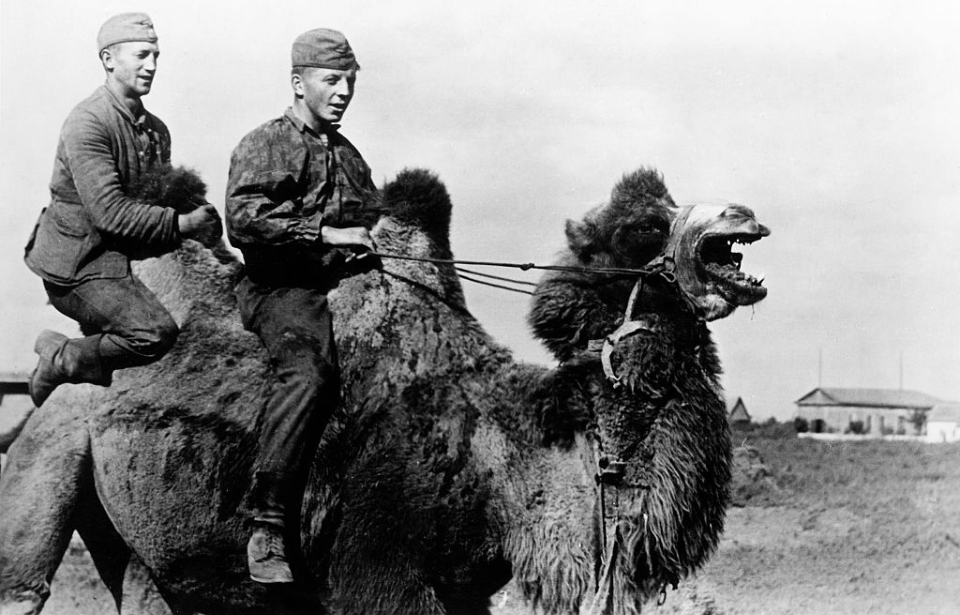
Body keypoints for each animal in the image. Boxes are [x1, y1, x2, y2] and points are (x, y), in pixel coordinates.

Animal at [0, 165, 768, 615]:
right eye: (644, 225)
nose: (743, 214)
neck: (506, 457)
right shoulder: (380, 569)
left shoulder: (465, 586)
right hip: (55, 441)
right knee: (22, 581)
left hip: (152, 539)